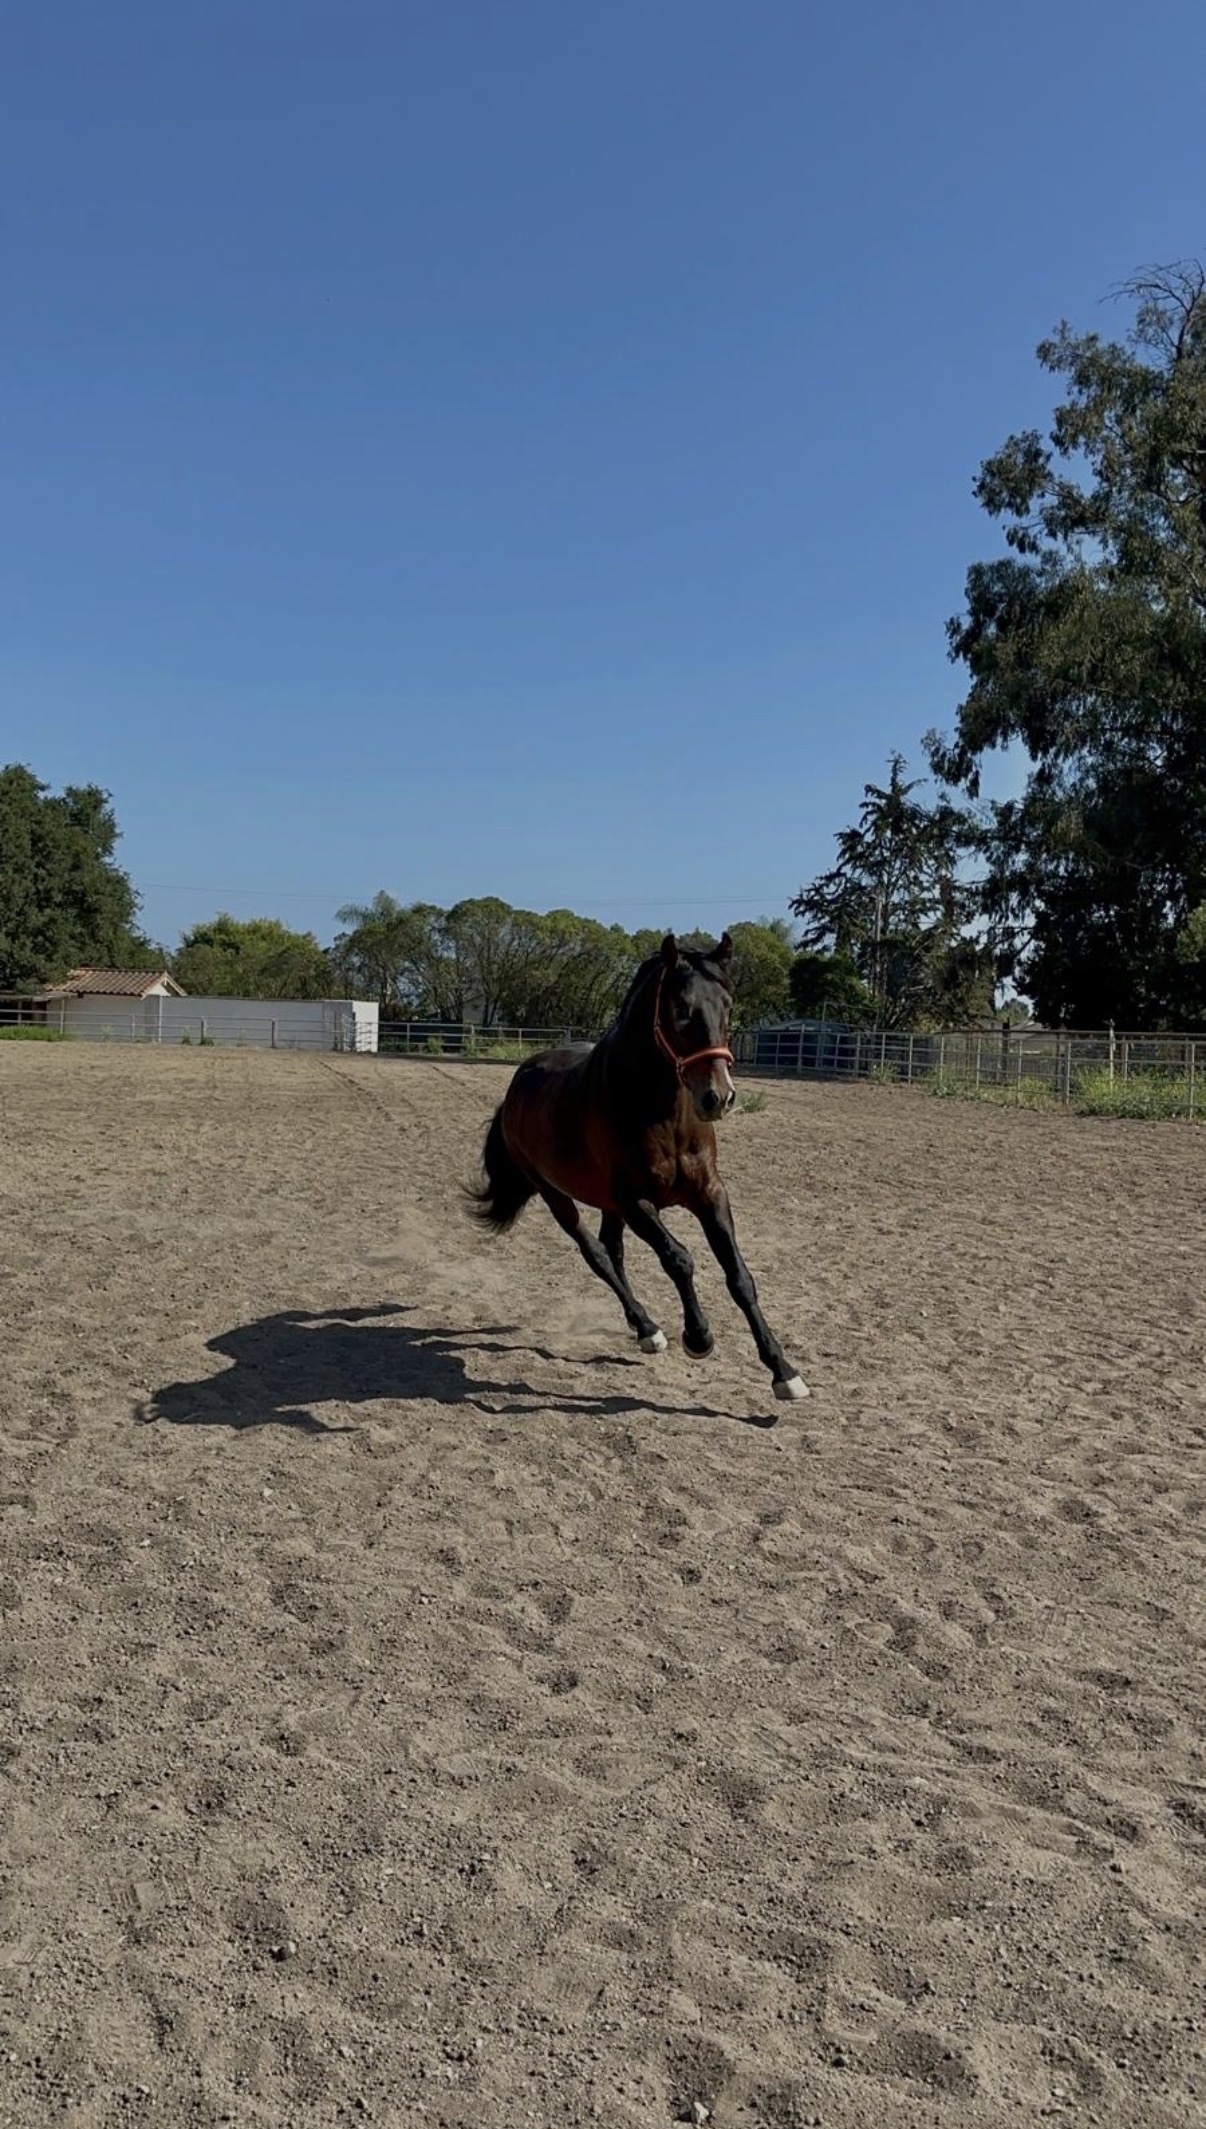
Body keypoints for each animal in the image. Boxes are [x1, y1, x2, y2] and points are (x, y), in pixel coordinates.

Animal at [470, 931, 808, 1406]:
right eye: (681, 1009)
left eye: (728, 1005)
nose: (718, 1097)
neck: (660, 1112)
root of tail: (518, 1084)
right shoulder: (636, 1201)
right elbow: (679, 1260)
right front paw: (698, 1336)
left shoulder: (709, 1194)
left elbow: (739, 1277)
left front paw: (783, 1371)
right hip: (557, 1196)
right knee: (596, 1254)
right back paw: (648, 1325)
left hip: (608, 1205)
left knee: (613, 1251)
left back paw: (643, 1327)